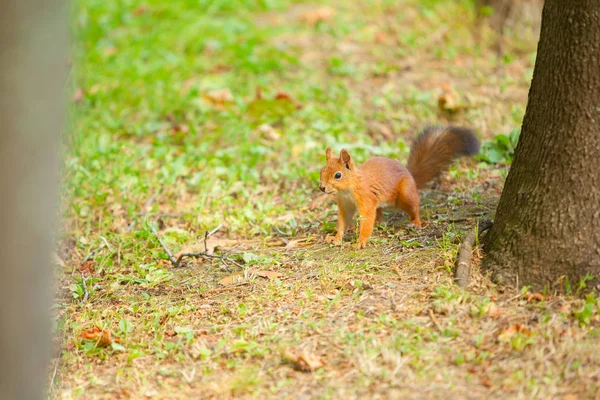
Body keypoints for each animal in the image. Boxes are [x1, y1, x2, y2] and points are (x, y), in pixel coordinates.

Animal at [318, 126, 478, 248]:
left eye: (338, 175)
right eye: (321, 171)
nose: (322, 188)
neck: (347, 190)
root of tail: (411, 176)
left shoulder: (366, 198)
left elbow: (367, 220)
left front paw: (361, 242)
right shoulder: (345, 205)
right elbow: (343, 222)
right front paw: (335, 238)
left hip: (405, 194)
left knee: (414, 208)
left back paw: (416, 222)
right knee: (379, 213)